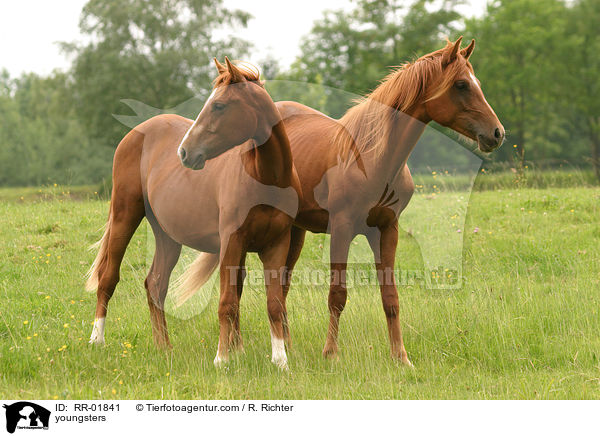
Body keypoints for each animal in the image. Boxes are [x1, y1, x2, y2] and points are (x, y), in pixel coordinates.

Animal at [85, 58, 298, 370]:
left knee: (156, 285)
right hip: (125, 216)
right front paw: (222, 359)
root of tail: (136, 133)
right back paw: (97, 340)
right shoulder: (232, 244)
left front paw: (280, 360)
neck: (265, 178)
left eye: (219, 105)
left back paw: (164, 347)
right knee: (108, 278)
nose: (184, 153)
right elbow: (227, 302)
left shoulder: (276, 246)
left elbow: (274, 303)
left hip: (167, 236)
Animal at [274, 37, 506, 366]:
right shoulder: (342, 229)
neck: (373, 157)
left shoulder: (387, 230)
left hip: (296, 231)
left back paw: (288, 346)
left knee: (282, 286)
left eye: (477, 83)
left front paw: (401, 357)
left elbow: (390, 297)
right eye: (461, 84)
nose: (497, 133)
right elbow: (337, 294)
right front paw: (331, 353)